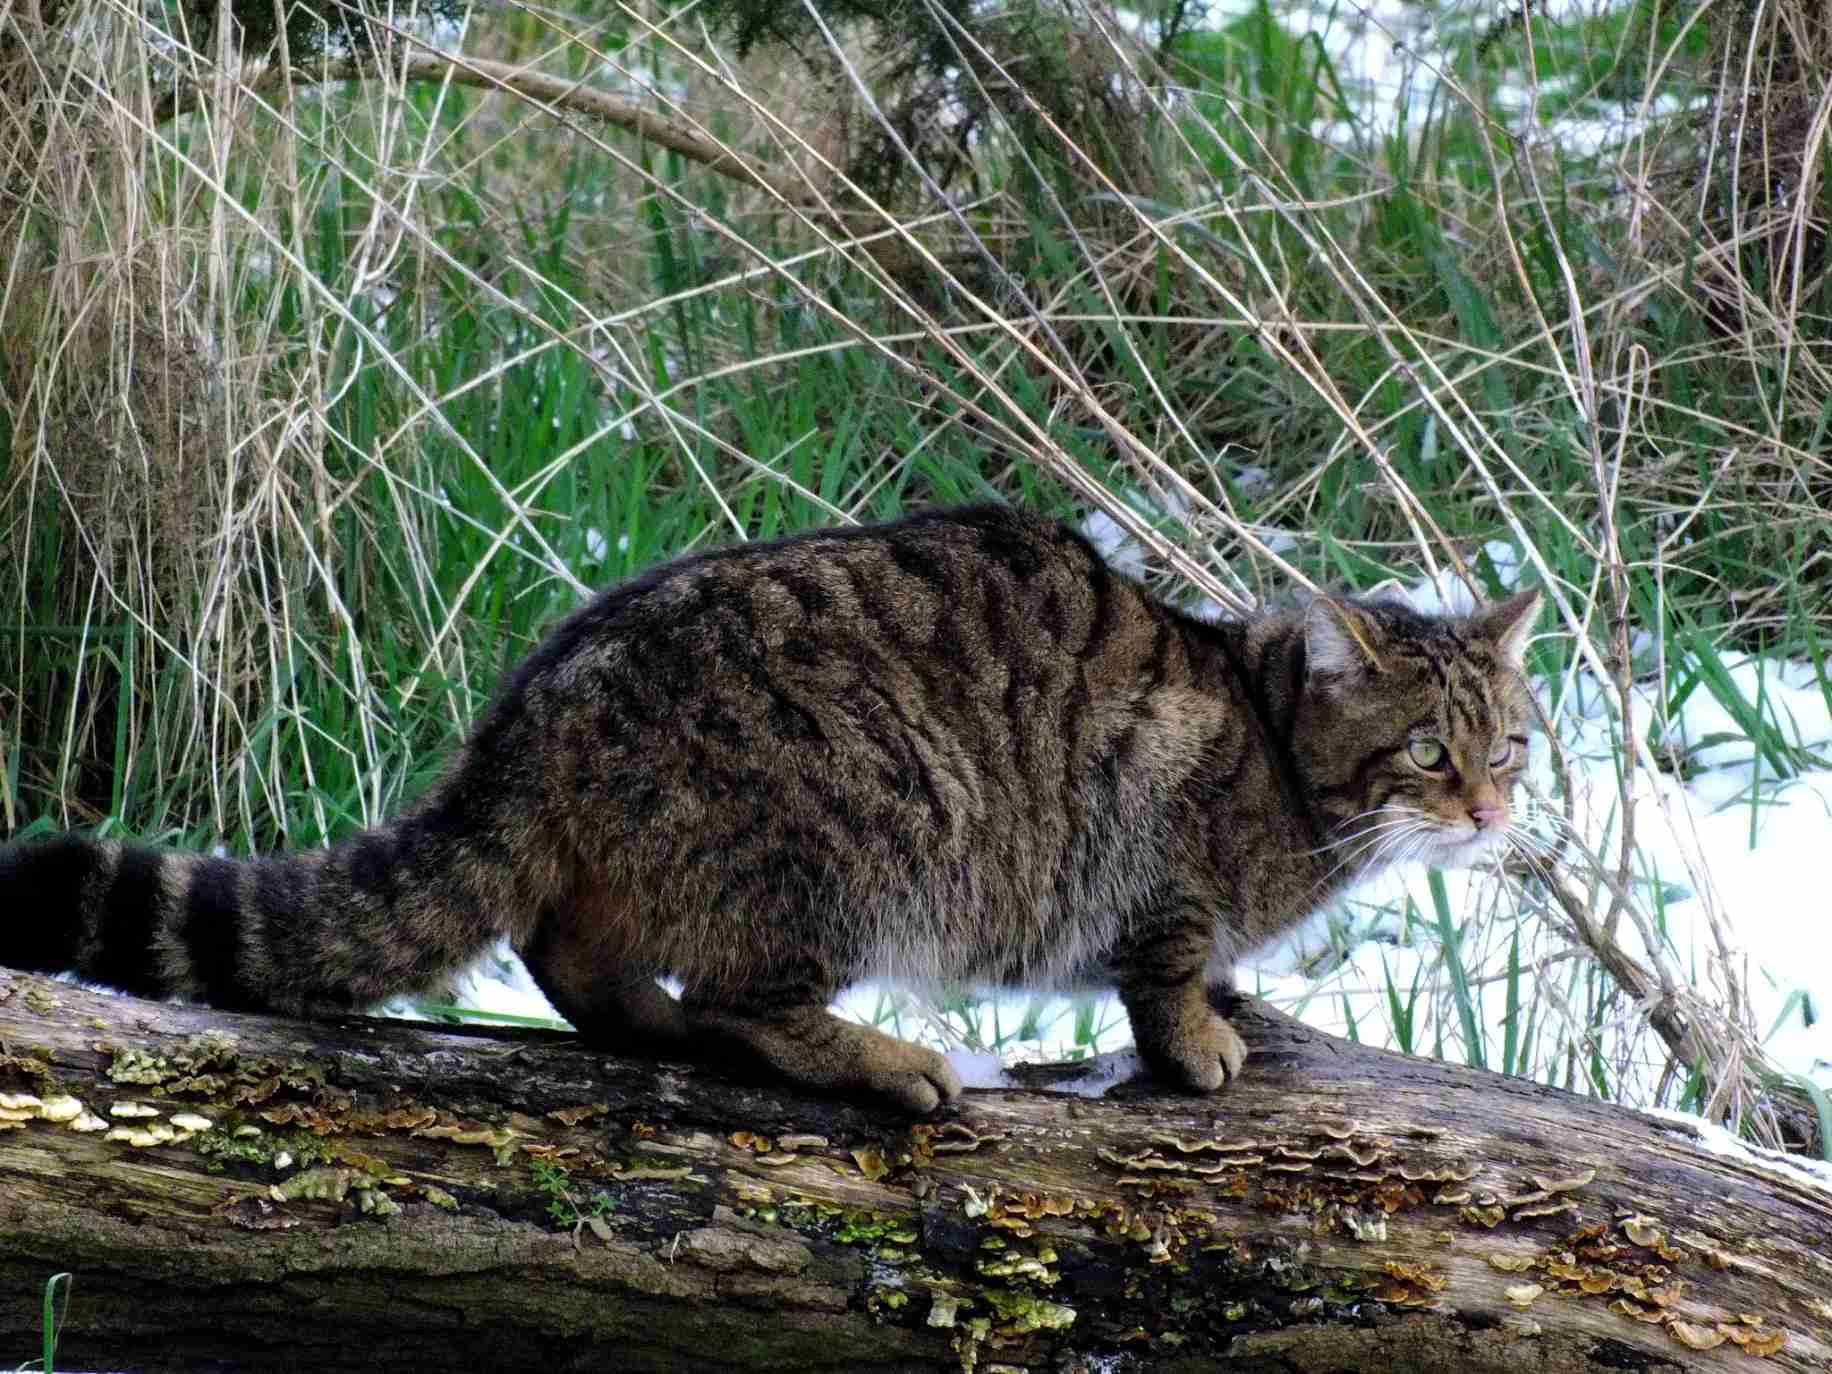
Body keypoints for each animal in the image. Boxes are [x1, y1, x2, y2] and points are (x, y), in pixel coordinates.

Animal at [7, 512, 1538, 1113]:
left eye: (1512, 748)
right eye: (1426, 753)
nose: (1486, 813)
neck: (1276, 751)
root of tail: (540, 700)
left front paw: (1237, 1000)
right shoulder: (1152, 860)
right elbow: (1162, 967)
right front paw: (1200, 1032)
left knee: (573, 955)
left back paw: (648, 1020)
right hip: (864, 831)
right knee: (743, 1002)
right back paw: (878, 1058)